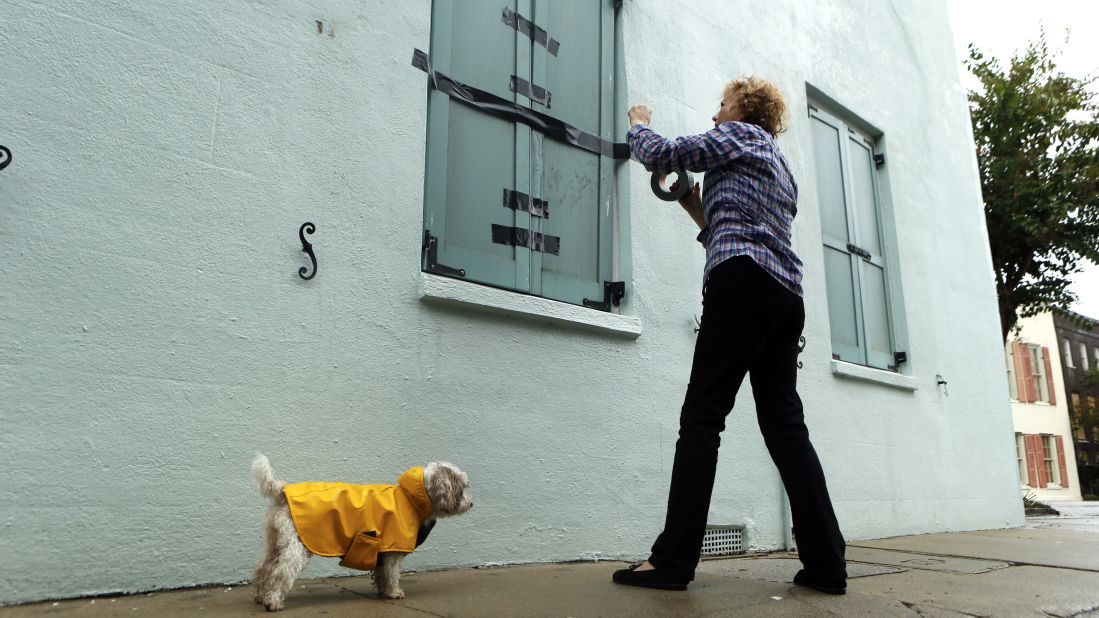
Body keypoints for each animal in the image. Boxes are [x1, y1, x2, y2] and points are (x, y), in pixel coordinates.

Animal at [251, 453, 474, 611]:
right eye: (462, 488)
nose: (471, 503)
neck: (411, 498)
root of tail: (282, 491)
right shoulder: (393, 550)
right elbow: (392, 574)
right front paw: (394, 592)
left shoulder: (382, 551)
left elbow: (382, 574)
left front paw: (384, 592)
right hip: (296, 547)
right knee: (280, 573)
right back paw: (273, 602)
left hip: (275, 541)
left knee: (263, 567)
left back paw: (261, 596)